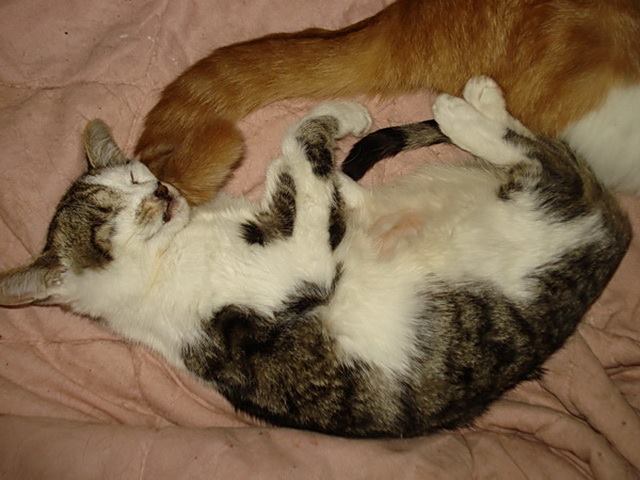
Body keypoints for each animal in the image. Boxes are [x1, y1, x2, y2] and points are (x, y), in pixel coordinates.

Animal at [0, 77, 631, 438]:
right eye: (106, 224)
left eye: (135, 176)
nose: (160, 192)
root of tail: (613, 234)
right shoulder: (300, 267)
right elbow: (297, 154)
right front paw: (334, 125)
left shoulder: (285, 219)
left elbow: (295, 165)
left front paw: (342, 117)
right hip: (542, 202)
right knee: (542, 159)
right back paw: (462, 110)